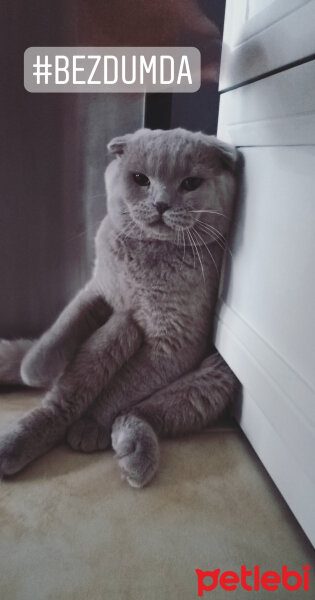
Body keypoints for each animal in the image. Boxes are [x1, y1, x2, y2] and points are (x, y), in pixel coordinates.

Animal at [0, 127, 239, 488]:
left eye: (190, 183)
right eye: (140, 179)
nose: (160, 204)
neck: (145, 256)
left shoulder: (173, 342)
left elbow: (123, 387)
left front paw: (95, 422)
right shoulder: (100, 287)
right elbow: (67, 320)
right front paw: (35, 366)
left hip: (216, 374)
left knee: (136, 409)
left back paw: (116, 443)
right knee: (63, 398)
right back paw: (16, 442)